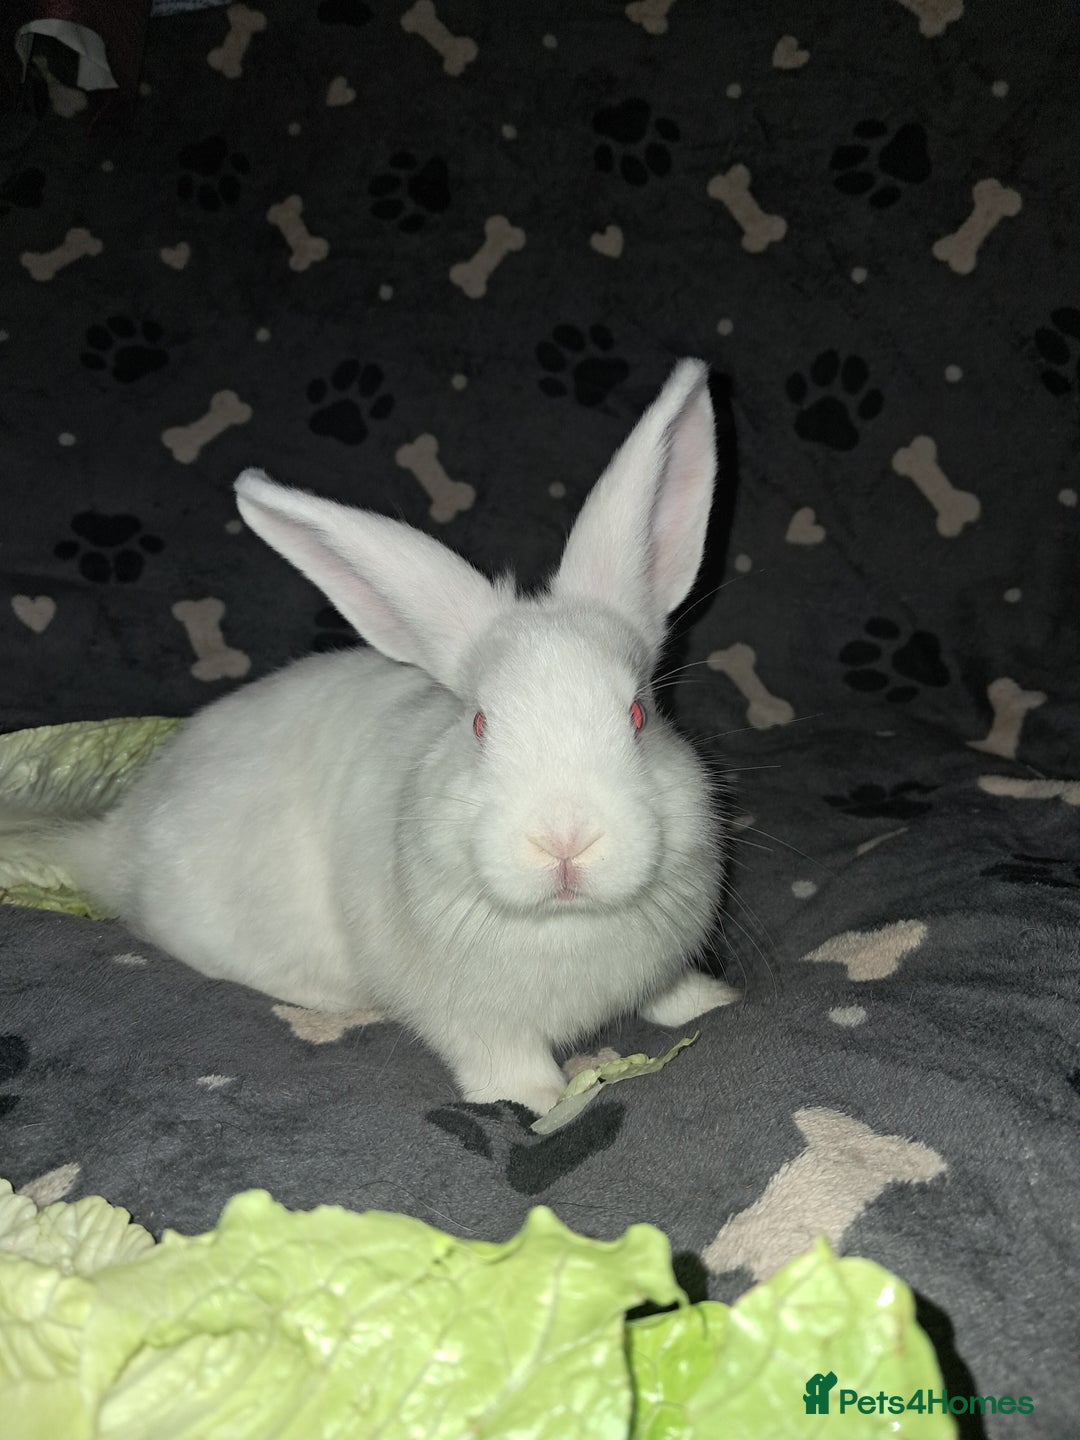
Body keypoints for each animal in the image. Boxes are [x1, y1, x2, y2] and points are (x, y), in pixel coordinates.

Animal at [48, 357, 739, 1114]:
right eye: (479, 723)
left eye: (638, 716)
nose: (565, 839)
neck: (568, 921)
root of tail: (115, 840)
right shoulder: (474, 1019)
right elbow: (505, 1063)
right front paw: (547, 1103)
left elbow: (671, 996)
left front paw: (715, 1003)